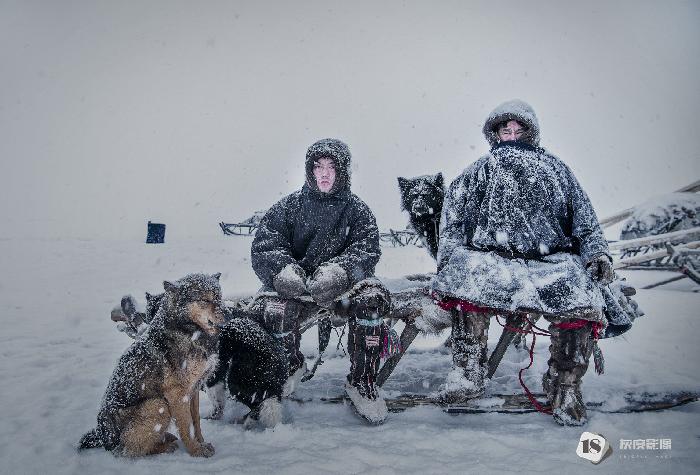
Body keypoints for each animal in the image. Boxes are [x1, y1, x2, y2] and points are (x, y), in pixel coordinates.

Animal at [79, 273, 225, 457]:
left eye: (219, 297)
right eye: (205, 300)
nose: (229, 315)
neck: (188, 331)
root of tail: (103, 437)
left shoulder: (194, 388)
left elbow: (196, 421)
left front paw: (202, 442)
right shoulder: (178, 394)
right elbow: (186, 427)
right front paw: (195, 450)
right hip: (158, 404)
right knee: (128, 450)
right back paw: (165, 447)